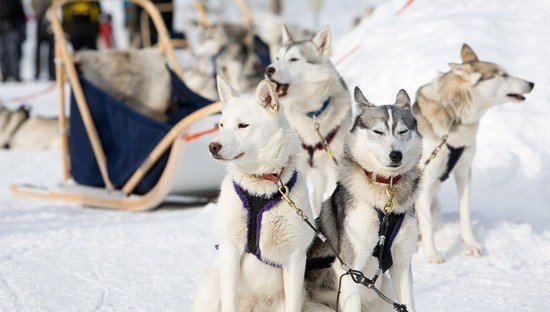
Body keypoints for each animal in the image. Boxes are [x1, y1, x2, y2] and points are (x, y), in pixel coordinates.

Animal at [195, 77, 322, 312]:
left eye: (243, 125)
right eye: (221, 125)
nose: (212, 146)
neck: (260, 188)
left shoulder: (295, 258)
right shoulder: (229, 250)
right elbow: (229, 302)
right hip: (212, 284)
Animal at [416, 44, 536, 264]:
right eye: (503, 75)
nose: (531, 83)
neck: (454, 117)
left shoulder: (464, 172)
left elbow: (465, 213)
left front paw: (470, 245)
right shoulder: (425, 177)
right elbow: (426, 226)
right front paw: (432, 255)